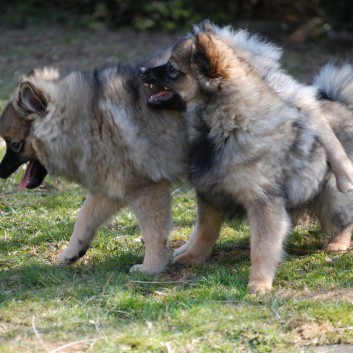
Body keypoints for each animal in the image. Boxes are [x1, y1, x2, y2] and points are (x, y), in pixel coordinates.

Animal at [0, 48, 187, 276]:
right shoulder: (113, 187)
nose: (0, 171)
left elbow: (153, 233)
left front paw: (151, 267)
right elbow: (85, 215)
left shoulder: (146, 188)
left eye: (15, 144)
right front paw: (73, 250)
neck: (91, 121)